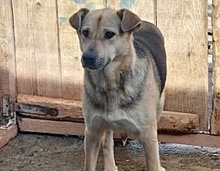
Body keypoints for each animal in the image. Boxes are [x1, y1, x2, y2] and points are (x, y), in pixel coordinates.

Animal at [69, 7, 166, 170]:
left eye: (109, 34)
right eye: (85, 32)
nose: (87, 58)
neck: (109, 84)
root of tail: (144, 22)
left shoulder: (148, 134)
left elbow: (153, 162)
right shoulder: (92, 132)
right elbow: (90, 163)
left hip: (159, 107)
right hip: (104, 124)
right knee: (108, 141)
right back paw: (110, 165)